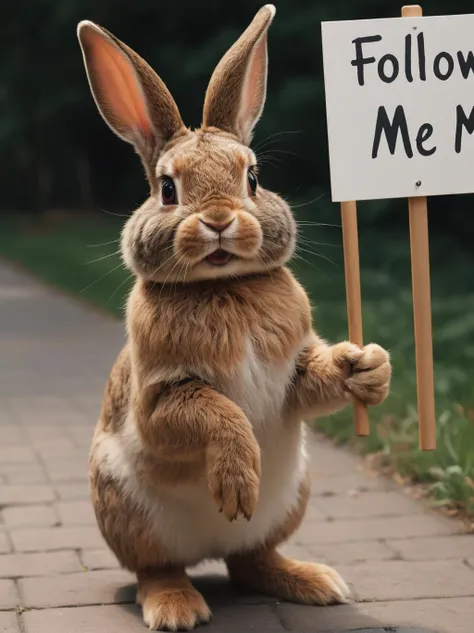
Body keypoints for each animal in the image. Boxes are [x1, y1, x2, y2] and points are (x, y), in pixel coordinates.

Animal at [77, 6, 388, 632]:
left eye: (252, 178)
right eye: (167, 189)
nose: (219, 220)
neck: (224, 288)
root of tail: (208, 550)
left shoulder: (294, 370)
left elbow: (318, 382)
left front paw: (370, 368)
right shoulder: (160, 397)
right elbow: (216, 412)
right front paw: (237, 486)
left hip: (293, 495)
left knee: (251, 559)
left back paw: (314, 582)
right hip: (125, 509)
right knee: (156, 568)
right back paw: (176, 607)